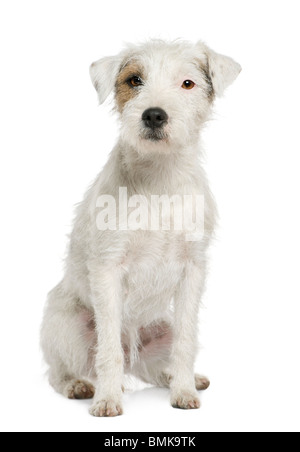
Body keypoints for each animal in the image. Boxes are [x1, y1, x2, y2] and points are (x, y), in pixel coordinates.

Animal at [40, 38, 241, 416]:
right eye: (135, 80)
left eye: (187, 83)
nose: (154, 114)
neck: (159, 177)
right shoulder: (108, 269)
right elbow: (107, 351)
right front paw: (107, 400)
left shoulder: (193, 269)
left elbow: (186, 342)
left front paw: (183, 392)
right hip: (67, 326)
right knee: (61, 369)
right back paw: (80, 385)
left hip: (162, 329)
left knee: (159, 365)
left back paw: (184, 379)